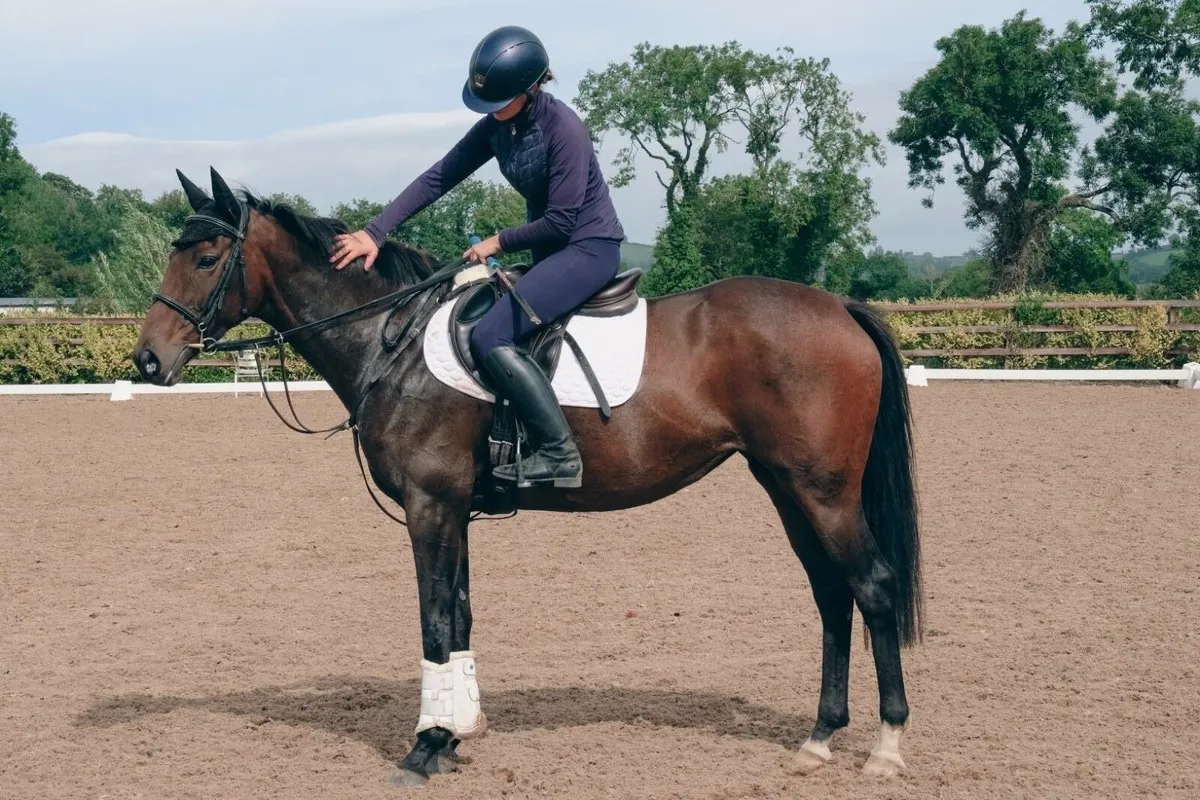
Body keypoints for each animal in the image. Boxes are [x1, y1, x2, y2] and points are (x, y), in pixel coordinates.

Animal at [133, 167, 924, 787]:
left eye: (206, 257)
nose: (147, 361)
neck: (393, 340)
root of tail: (836, 305)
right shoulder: (454, 509)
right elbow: (460, 613)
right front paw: (459, 729)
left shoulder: (430, 505)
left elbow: (434, 619)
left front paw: (427, 744)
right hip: (786, 487)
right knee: (831, 595)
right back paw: (819, 740)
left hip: (823, 492)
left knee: (872, 587)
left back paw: (885, 748)